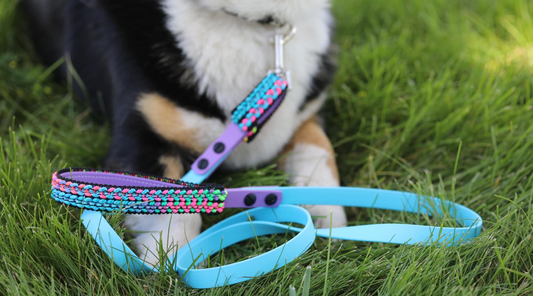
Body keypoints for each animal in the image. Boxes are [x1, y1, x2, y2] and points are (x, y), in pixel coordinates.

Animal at [25, 0, 348, 264]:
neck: (247, 23)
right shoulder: (141, 136)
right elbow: (173, 206)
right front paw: (171, 262)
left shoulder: (305, 115)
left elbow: (320, 152)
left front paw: (329, 216)